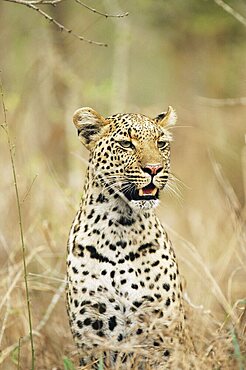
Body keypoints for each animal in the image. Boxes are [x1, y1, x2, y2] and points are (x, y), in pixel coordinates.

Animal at [66, 105, 185, 368]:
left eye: (161, 143)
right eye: (126, 144)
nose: (154, 169)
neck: (119, 227)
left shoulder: (161, 331)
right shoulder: (90, 333)